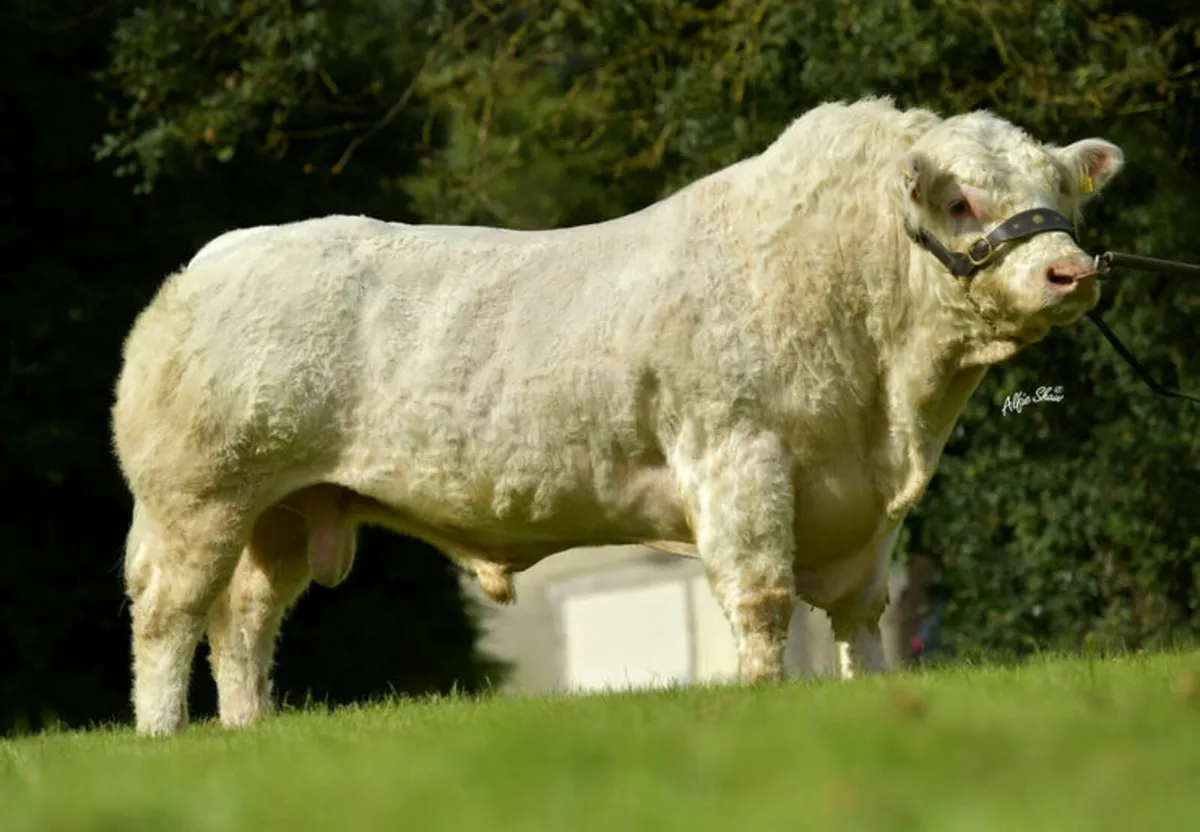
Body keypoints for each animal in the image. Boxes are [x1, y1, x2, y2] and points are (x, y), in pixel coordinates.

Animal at [112, 97, 1123, 736]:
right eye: (961, 199)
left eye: (1061, 194)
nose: (1071, 271)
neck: (890, 409)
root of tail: (214, 259)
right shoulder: (738, 457)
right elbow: (761, 601)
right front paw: (765, 702)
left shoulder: (864, 512)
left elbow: (860, 615)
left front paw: (868, 696)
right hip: (198, 500)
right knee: (167, 618)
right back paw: (164, 739)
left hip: (280, 512)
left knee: (243, 623)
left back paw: (249, 731)